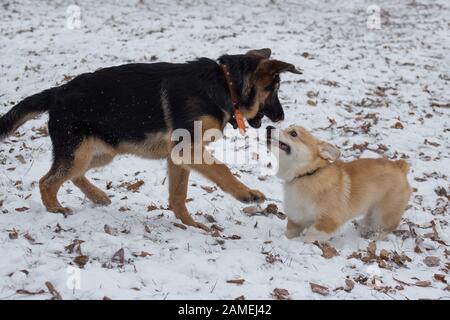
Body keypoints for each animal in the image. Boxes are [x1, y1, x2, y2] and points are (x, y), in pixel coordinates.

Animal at [1, 48, 302, 230]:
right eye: (274, 89)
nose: (281, 117)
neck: (225, 84)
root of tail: (56, 92)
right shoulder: (189, 150)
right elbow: (222, 169)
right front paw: (247, 194)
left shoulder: (179, 156)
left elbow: (178, 195)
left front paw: (190, 225)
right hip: (79, 152)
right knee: (48, 181)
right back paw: (55, 210)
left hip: (100, 151)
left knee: (72, 176)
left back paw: (97, 196)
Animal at [268, 125, 412, 242]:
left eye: (293, 133)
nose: (269, 127)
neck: (306, 174)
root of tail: (400, 167)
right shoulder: (296, 219)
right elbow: (289, 234)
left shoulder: (328, 221)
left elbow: (311, 234)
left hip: (384, 214)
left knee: (386, 228)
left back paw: (373, 239)